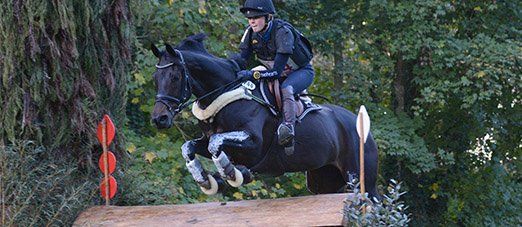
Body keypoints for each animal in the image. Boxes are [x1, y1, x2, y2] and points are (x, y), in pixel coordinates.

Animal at [150, 33, 378, 199]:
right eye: (156, 77)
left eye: (175, 76)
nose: (159, 119)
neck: (223, 94)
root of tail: (360, 124)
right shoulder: (207, 141)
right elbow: (189, 147)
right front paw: (207, 181)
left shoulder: (254, 144)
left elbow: (216, 143)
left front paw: (233, 174)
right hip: (324, 179)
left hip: (360, 178)